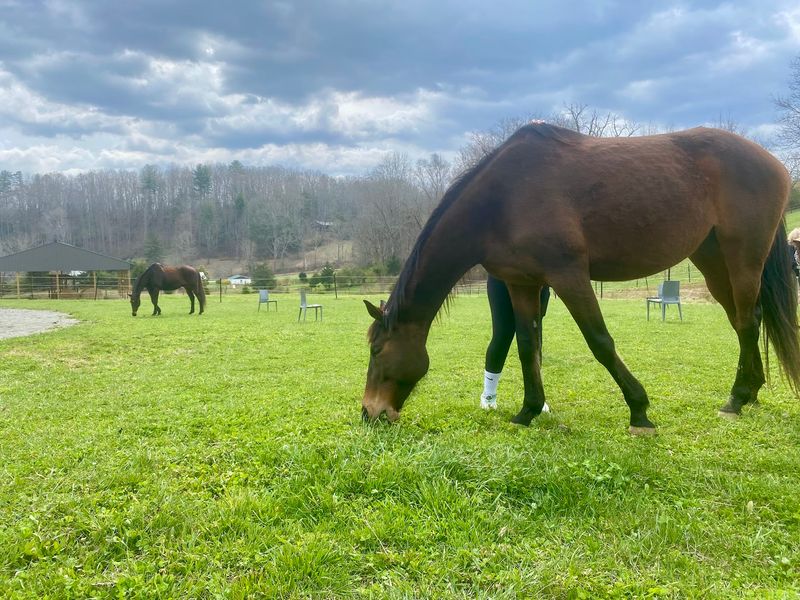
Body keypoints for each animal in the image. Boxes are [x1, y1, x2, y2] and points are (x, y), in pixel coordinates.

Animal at [362, 123, 800, 435]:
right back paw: (750, 392)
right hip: (712, 262)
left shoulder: (568, 275)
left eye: (377, 351)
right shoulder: (523, 284)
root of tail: (774, 163)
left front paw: (639, 411)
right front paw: (527, 411)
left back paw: (736, 400)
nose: (370, 412)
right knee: (745, 320)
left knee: (747, 320)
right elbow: (527, 346)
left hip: (744, 257)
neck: (503, 199)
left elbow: (600, 341)